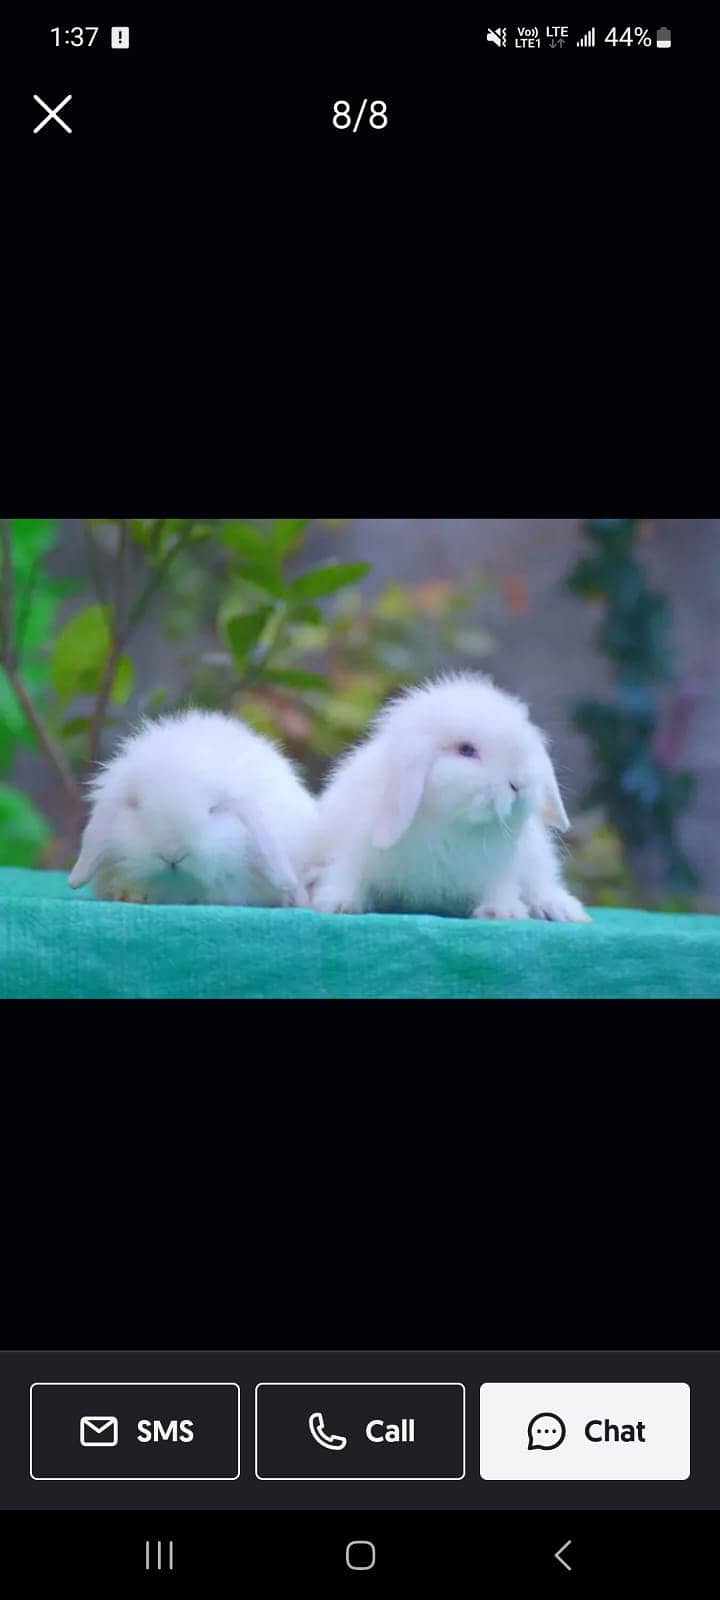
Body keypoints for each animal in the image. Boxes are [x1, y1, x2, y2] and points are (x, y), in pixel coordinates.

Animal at [305, 673, 590, 921]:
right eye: (466, 750)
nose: (520, 784)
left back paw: (561, 910)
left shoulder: (502, 868)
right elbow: (346, 875)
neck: (450, 824)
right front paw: (338, 904)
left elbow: (501, 887)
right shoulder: (352, 851)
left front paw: (501, 911)